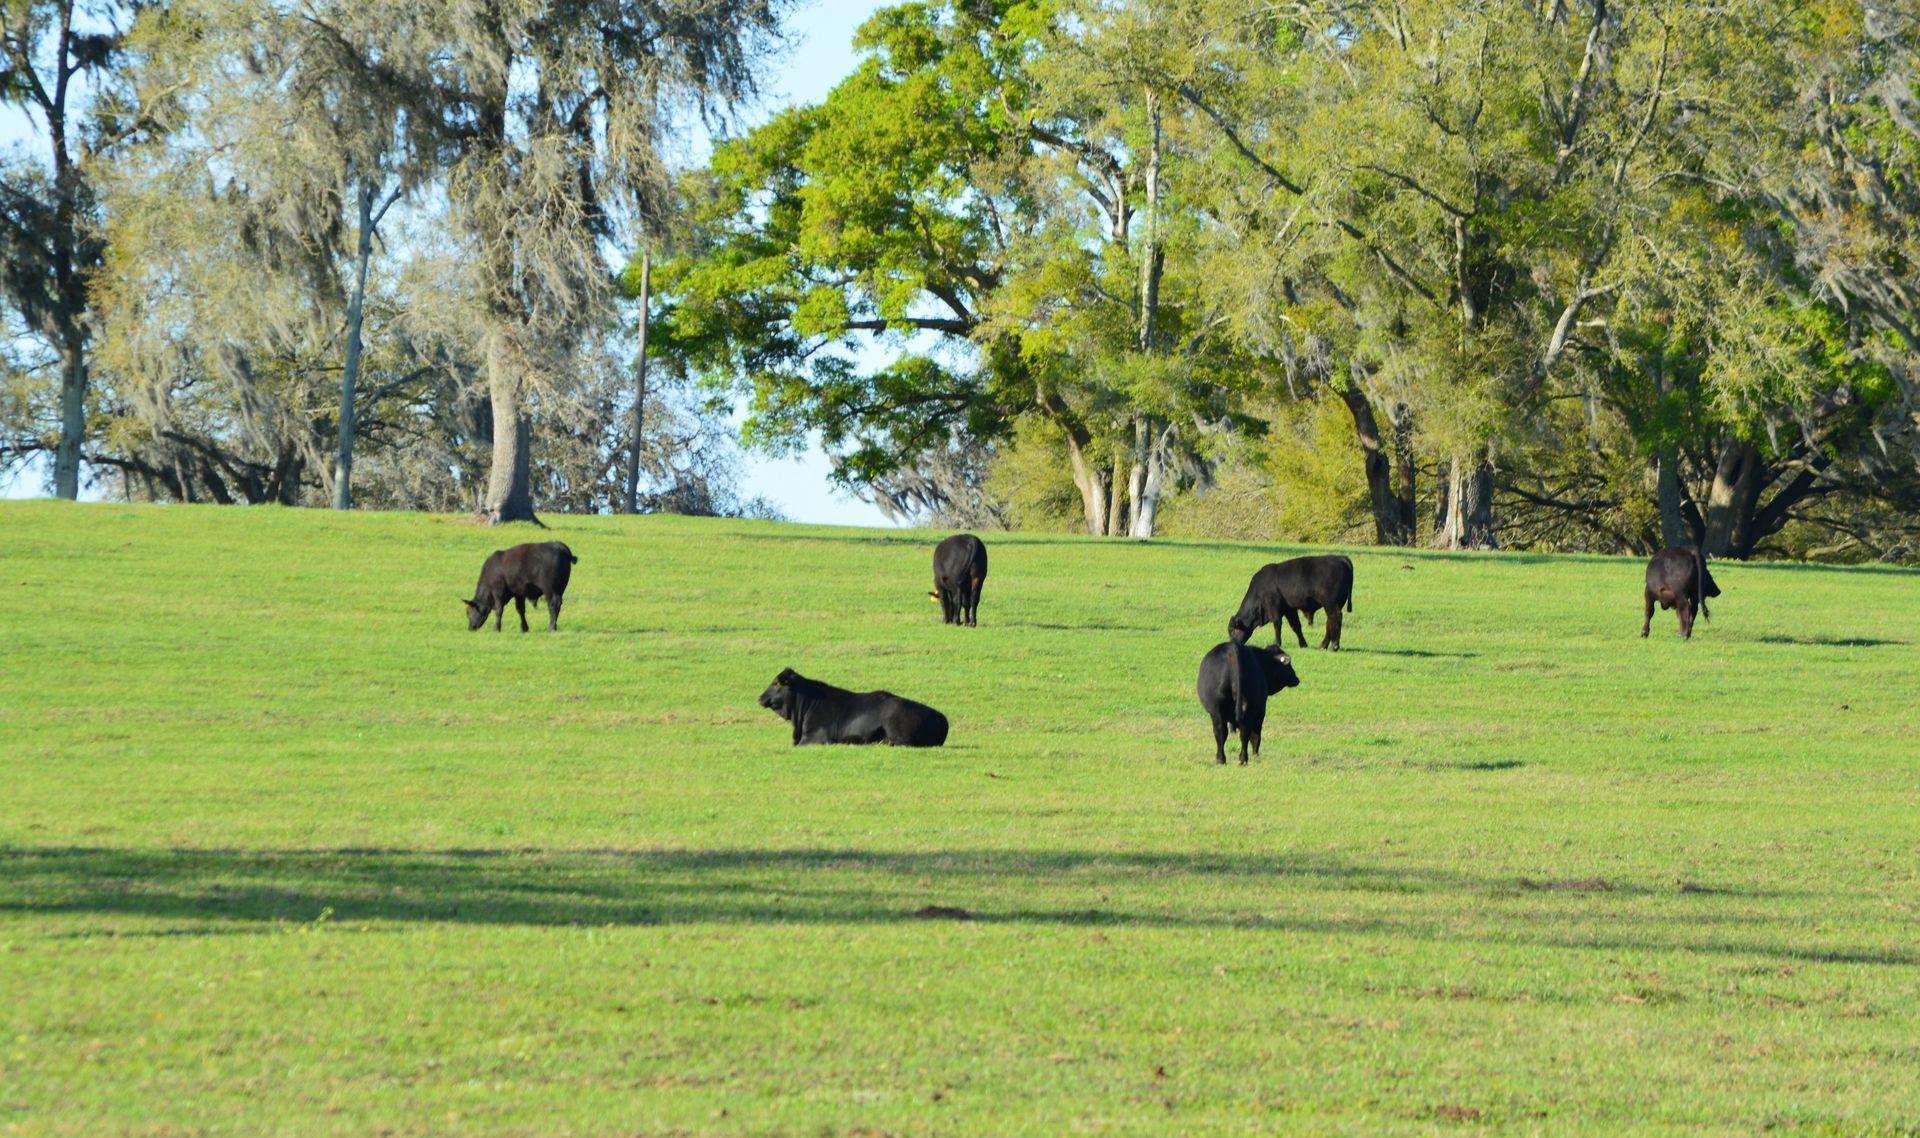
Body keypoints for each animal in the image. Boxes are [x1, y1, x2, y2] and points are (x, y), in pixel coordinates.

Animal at [1227, 555, 1355, 651]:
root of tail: (1341, 558)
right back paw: (1322, 646)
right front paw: (1303, 644)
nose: (1232, 644)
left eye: (1233, 630)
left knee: (1335, 619)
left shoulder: (1274, 606)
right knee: (1330, 622)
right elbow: (1296, 626)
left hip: (1331, 605)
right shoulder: (1289, 609)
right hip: (1333, 605)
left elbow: (1277, 624)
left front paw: (1277, 643)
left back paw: (1334, 646)